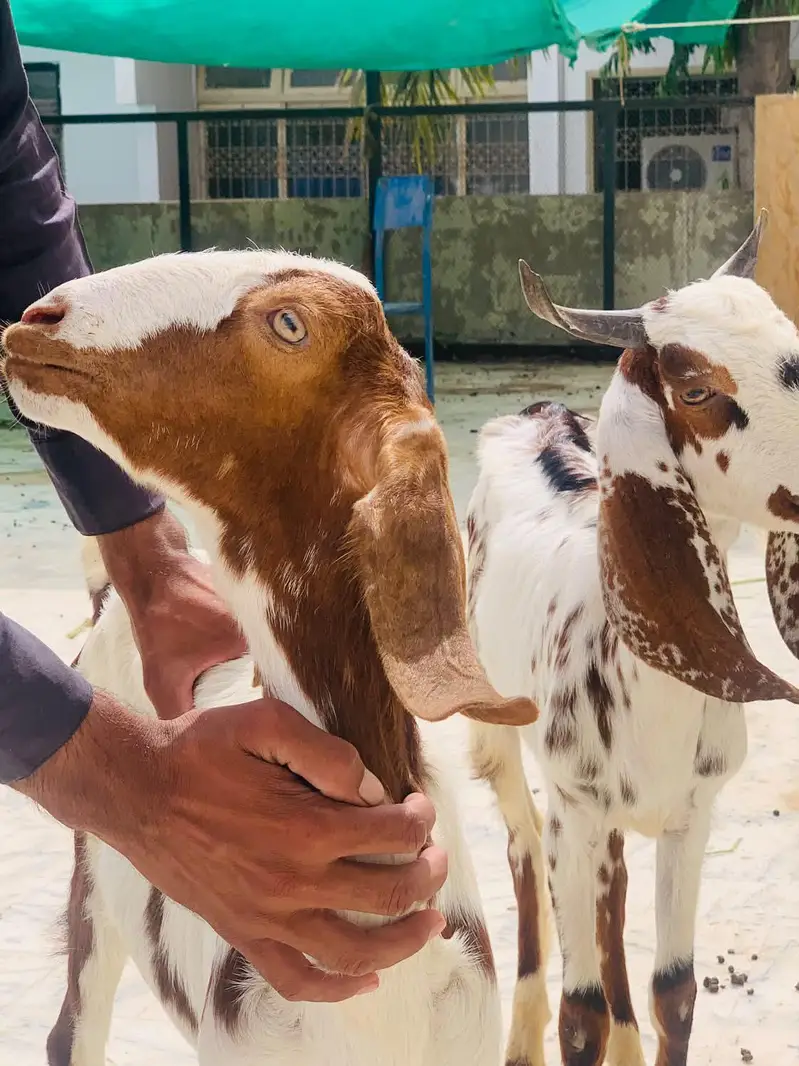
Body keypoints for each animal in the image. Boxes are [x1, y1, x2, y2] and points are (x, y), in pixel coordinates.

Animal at [466, 212, 799, 1066]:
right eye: (696, 389)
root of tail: (536, 412)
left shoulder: (692, 813)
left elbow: (673, 994)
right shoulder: (573, 808)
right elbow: (577, 1013)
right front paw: (577, 1028)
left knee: (612, 893)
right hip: (499, 737)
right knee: (520, 854)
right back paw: (520, 1032)